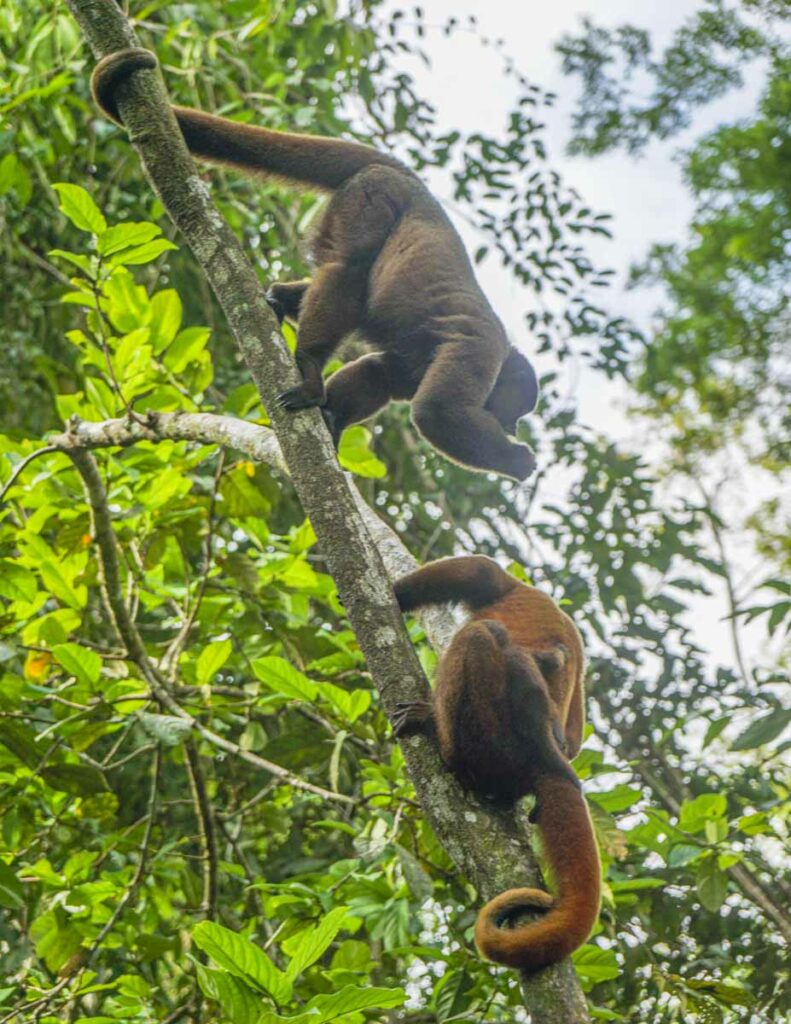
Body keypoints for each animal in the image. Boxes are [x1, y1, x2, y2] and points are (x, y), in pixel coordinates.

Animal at [89, 48, 540, 479]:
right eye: (517, 408)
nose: (514, 427)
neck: (503, 353)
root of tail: (415, 184)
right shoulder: (481, 347)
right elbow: (436, 412)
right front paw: (517, 460)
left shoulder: (420, 364)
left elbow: (382, 372)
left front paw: (333, 418)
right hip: (372, 196)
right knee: (347, 270)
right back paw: (307, 369)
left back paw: (278, 300)